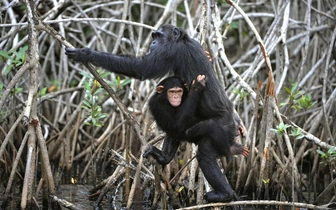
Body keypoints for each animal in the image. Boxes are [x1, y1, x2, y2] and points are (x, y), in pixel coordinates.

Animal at [65, 23, 242, 203]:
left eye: (159, 36)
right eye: (153, 36)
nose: (153, 43)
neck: (181, 40)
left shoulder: (170, 51)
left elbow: (142, 68)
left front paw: (86, 53)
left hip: (222, 129)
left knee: (205, 154)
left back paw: (224, 194)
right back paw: (164, 157)